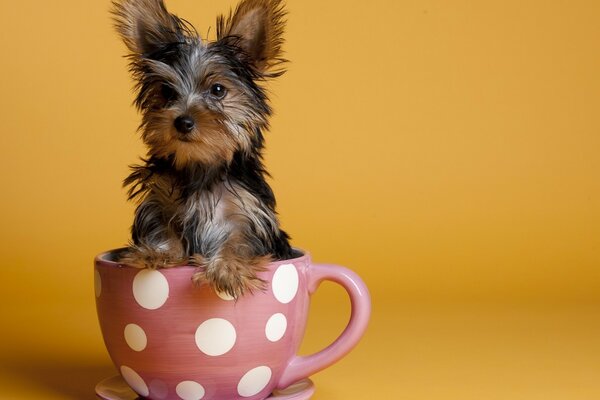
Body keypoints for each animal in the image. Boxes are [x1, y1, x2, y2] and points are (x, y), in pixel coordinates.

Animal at [111, 0, 294, 298]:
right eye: (166, 91)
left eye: (218, 90)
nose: (182, 121)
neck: (201, 165)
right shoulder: (159, 201)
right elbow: (162, 226)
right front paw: (156, 252)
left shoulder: (249, 212)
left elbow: (239, 240)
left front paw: (228, 269)